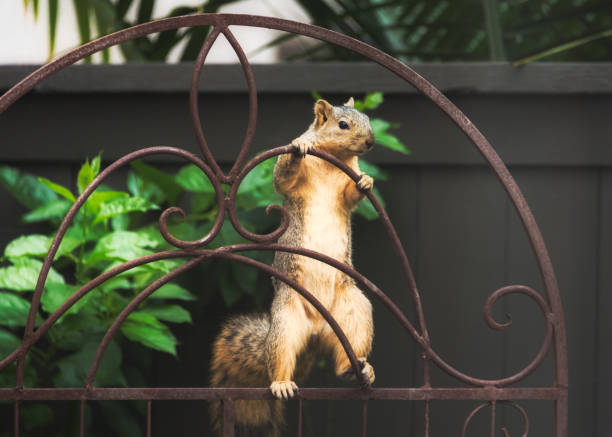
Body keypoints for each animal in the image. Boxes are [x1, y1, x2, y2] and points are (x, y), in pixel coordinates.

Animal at [209, 97, 372, 434]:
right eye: (342, 125)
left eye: (367, 119)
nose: (370, 142)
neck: (333, 161)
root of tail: (317, 332)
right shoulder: (291, 184)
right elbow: (282, 177)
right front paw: (299, 146)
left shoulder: (348, 180)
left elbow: (351, 194)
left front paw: (367, 180)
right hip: (286, 322)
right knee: (280, 358)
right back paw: (282, 382)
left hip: (355, 313)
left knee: (345, 358)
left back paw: (360, 368)